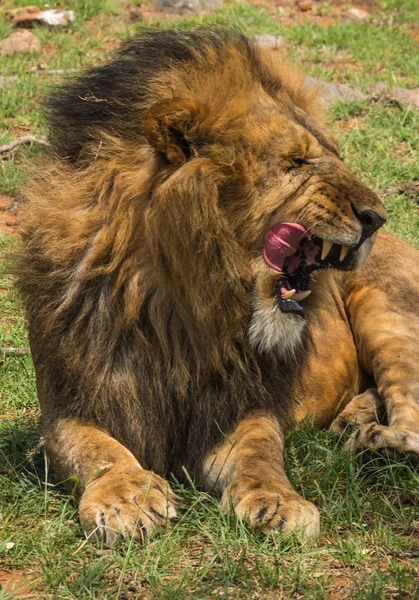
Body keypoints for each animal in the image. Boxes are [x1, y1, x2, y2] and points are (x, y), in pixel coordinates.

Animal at [15, 29, 419, 544]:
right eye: (296, 161)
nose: (376, 217)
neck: (175, 308)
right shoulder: (69, 404)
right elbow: (95, 450)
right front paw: (127, 497)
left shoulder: (241, 407)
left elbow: (261, 454)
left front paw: (278, 502)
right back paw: (356, 426)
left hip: (389, 312)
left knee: (408, 404)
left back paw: (385, 446)